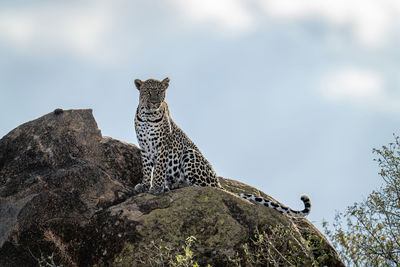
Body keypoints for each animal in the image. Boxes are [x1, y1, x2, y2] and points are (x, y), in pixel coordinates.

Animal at [133, 77, 310, 218]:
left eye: (160, 92)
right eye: (147, 91)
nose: (155, 102)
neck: (148, 116)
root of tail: (218, 182)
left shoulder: (163, 146)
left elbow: (159, 169)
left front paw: (156, 188)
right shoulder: (144, 147)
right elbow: (147, 168)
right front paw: (144, 185)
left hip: (190, 155)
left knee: (208, 188)